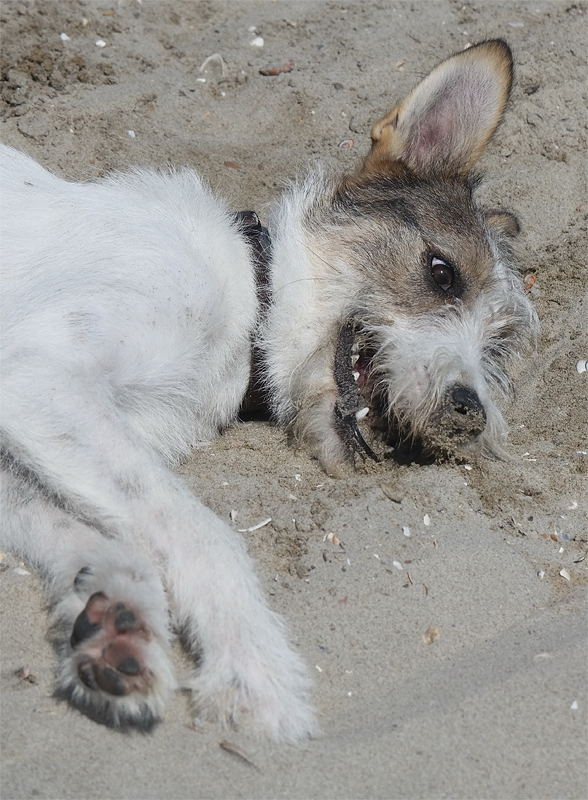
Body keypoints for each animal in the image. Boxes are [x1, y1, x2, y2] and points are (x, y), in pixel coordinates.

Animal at [0, 42, 536, 744]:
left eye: (496, 346)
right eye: (442, 273)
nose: (468, 411)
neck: (249, 291)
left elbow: (81, 530)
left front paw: (120, 620)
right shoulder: (38, 374)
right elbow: (201, 532)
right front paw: (254, 668)